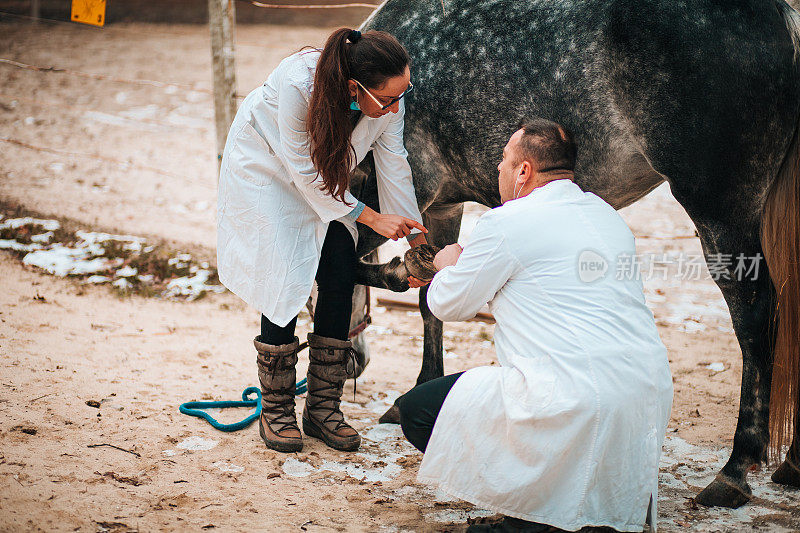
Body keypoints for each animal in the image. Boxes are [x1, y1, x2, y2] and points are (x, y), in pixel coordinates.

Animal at [350, 0, 800, 508]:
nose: (359, 362)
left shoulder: (402, 195)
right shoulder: (441, 205)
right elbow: (429, 303)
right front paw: (421, 383)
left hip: (720, 211)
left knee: (754, 320)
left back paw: (736, 468)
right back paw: (792, 465)